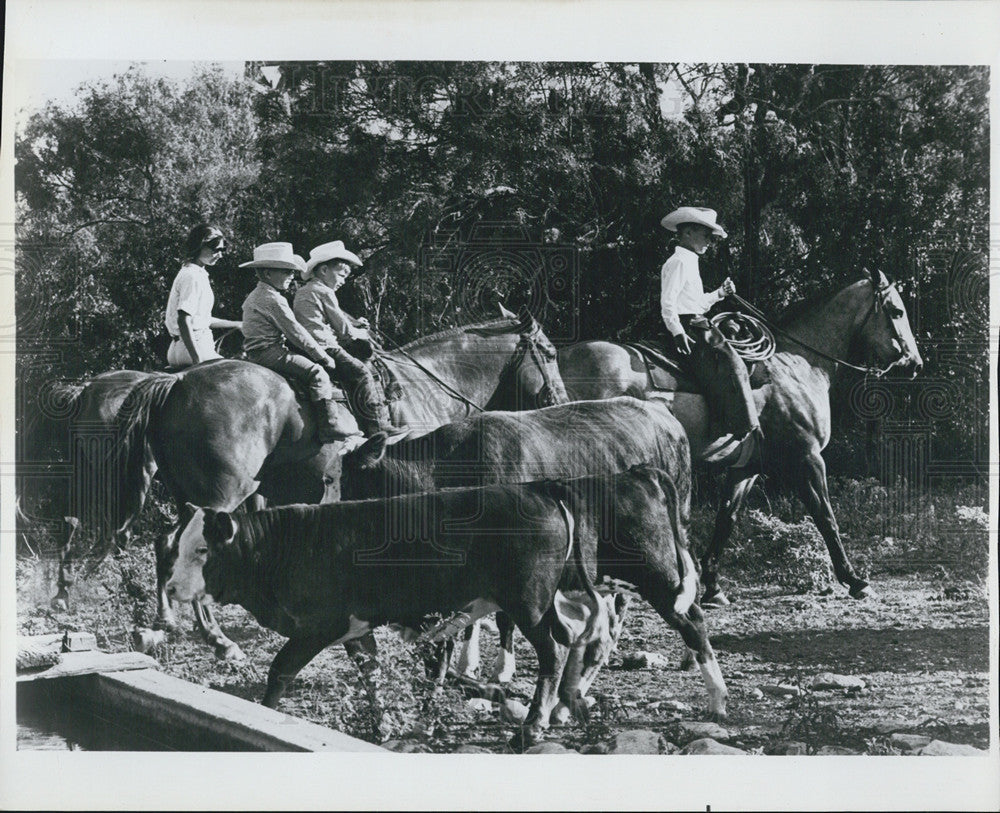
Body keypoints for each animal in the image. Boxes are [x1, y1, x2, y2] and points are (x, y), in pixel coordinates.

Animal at [166, 466, 728, 744]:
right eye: (177, 544)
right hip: (550, 598)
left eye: (202, 550)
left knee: (579, 643)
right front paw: (386, 726)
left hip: (552, 596)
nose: (171, 589)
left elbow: (280, 671)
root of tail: (543, 488)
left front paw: (261, 713)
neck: (288, 543)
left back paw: (539, 721)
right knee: (580, 635)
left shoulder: (317, 626)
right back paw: (565, 704)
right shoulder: (356, 629)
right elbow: (372, 676)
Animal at [556, 270, 920, 604]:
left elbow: (726, 521)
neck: (797, 367)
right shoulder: (807, 458)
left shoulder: (746, 468)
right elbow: (826, 517)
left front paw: (713, 587)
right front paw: (856, 580)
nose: (915, 363)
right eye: (897, 311)